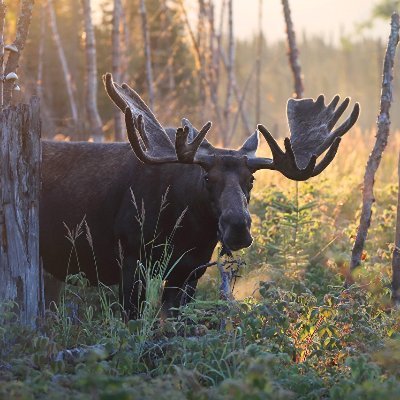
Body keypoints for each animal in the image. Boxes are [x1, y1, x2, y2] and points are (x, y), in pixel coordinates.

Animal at [39, 73, 360, 318]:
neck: (187, 230)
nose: (238, 227)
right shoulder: (131, 256)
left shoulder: (191, 270)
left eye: (251, 180)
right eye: (207, 178)